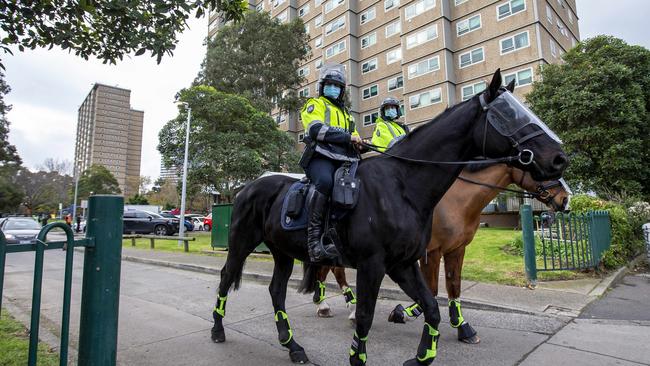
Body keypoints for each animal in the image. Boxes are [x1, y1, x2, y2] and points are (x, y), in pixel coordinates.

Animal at [308, 163, 568, 334]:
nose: (566, 199)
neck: (456, 200)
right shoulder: (431, 253)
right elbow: (431, 288)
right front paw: (405, 313)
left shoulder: (457, 249)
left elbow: (453, 286)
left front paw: (462, 326)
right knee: (327, 270)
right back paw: (325, 306)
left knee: (334, 271)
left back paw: (344, 308)